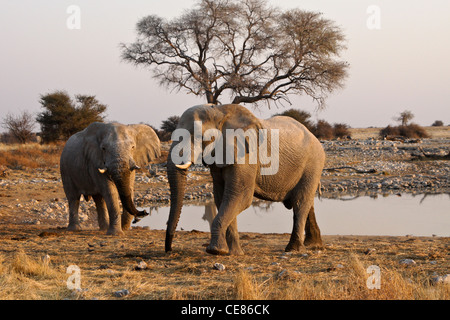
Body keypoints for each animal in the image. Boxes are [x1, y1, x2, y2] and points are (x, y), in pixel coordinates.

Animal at [163, 104, 326, 255]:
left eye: (199, 137)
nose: (169, 250)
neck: (219, 111)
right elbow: (222, 197)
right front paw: (234, 253)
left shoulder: (246, 156)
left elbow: (239, 196)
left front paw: (216, 251)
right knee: (306, 202)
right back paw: (313, 245)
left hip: (313, 164)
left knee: (300, 202)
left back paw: (293, 249)